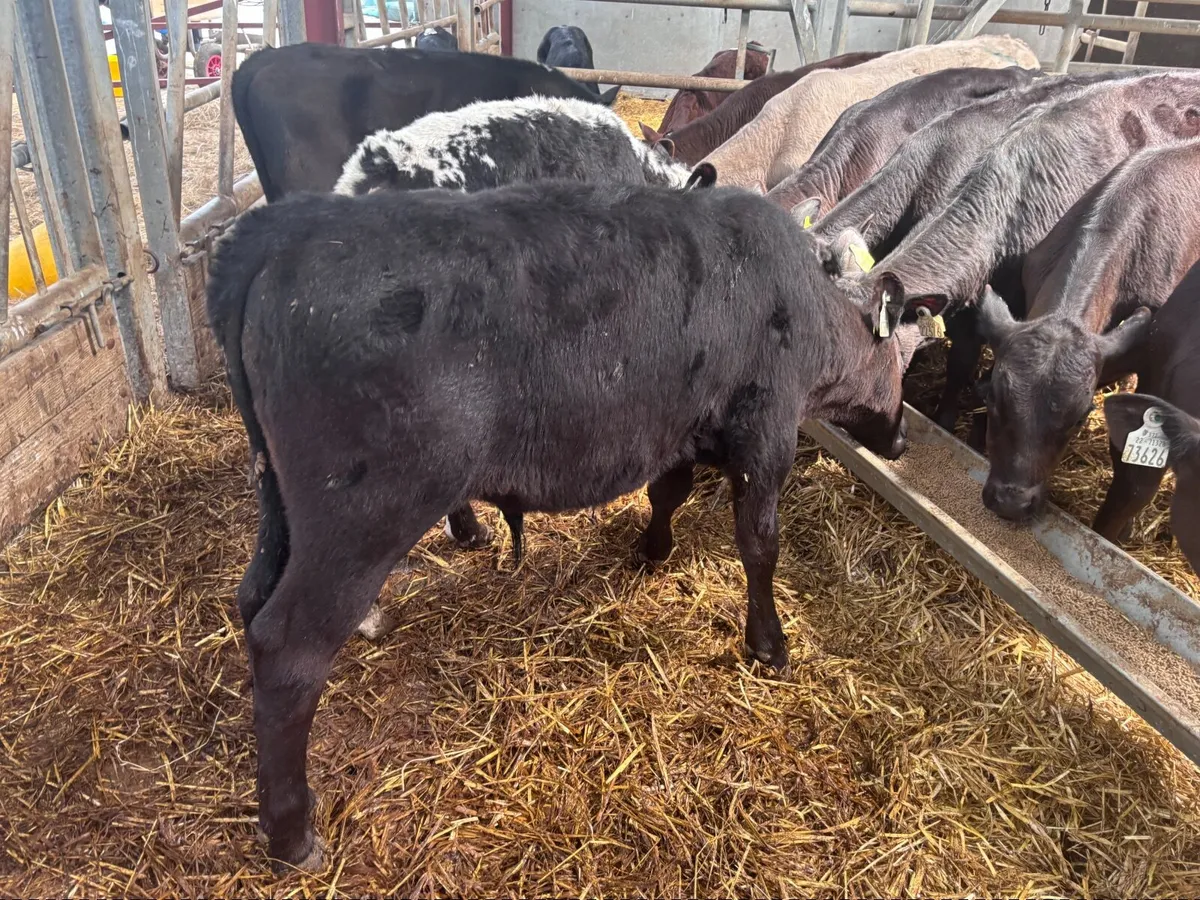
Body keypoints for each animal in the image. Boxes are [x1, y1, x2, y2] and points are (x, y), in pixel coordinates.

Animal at [207, 181, 927, 870]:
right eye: (903, 364)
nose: (900, 442)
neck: (804, 301)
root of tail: (290, 226)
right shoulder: (767, 432)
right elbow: (759, 542)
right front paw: (769, 642)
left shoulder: (682, 426)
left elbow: (668, 491)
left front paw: (652, 549)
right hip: (363, 518)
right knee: (288, 649)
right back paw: (291, 831)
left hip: (282, 504)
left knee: (252, 597)